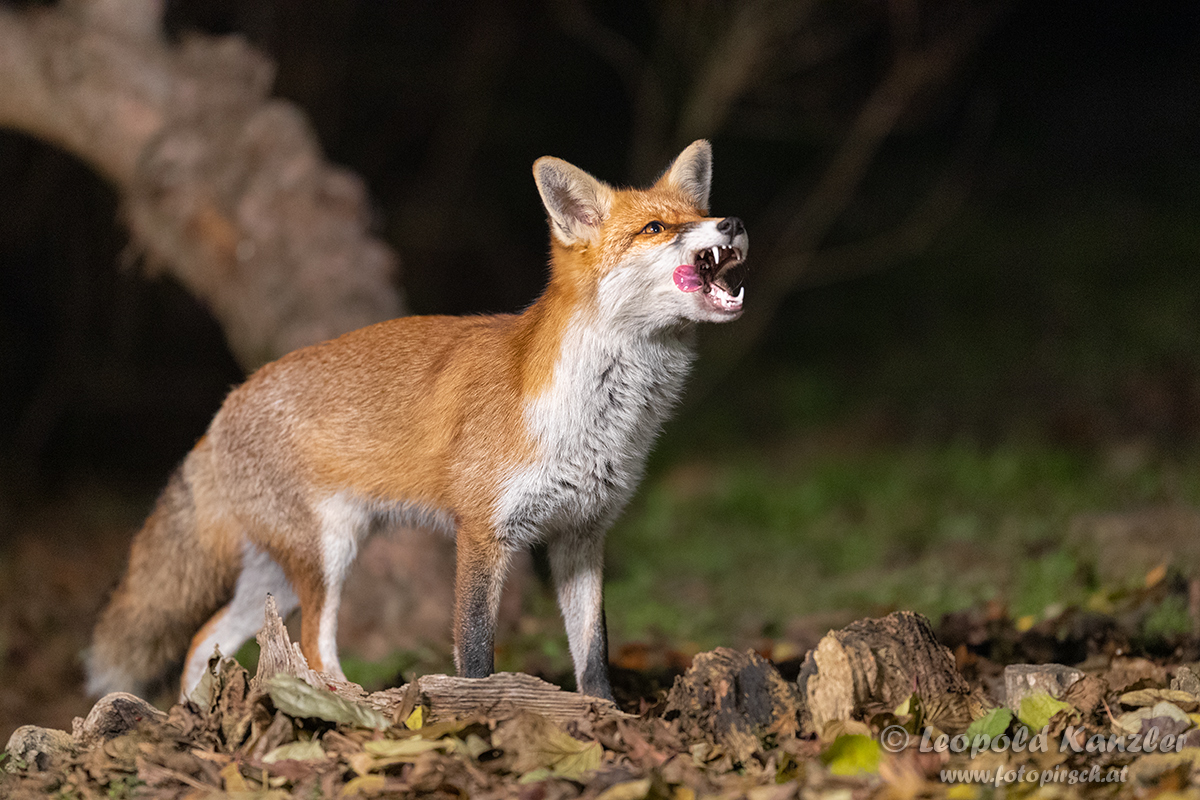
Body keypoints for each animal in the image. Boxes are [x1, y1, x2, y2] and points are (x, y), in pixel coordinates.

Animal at [87, 140, 739, 705]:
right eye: (655, 228)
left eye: (700, 215)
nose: (732, 223)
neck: (599, 417)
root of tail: (224, 406)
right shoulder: (482, 531)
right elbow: (475, 650)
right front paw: (477, 709)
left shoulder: (581, 534)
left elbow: (594, 653)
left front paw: (604, 717)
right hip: (328, 554)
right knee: (310, 646)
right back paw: (348, 704)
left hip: (280, 572)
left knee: (205, 640)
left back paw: (195, 715)